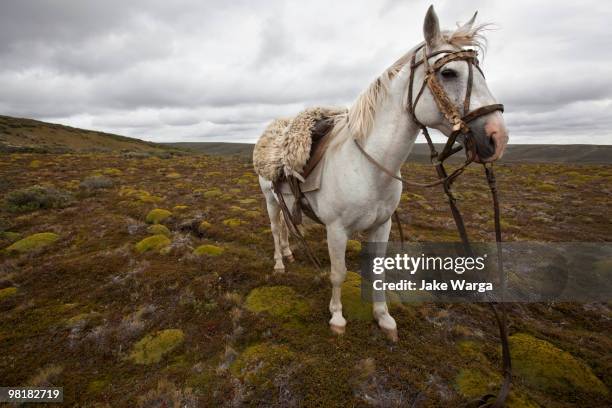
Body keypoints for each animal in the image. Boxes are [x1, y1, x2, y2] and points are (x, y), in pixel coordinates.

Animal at [256, 6, 510, 340]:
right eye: (448, 73)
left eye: (481, 71)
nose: (498, 137)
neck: (369, 167)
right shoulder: (336, 230)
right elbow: (338, 274)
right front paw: (337, 318)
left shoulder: (382, 225)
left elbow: (377, 272)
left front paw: (383, 317)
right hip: (270, 198)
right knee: (276, 229)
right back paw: (279, 264)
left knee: (286, 227)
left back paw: (287, 254)